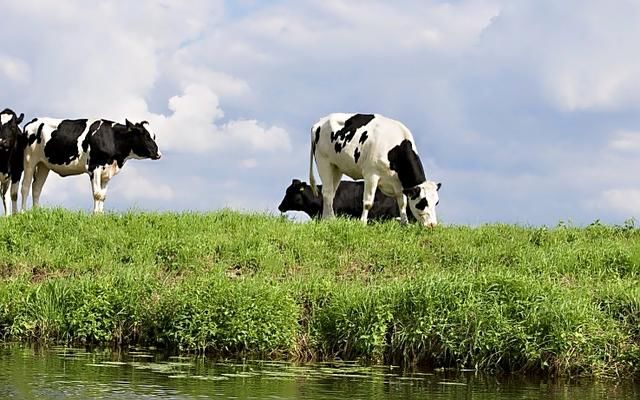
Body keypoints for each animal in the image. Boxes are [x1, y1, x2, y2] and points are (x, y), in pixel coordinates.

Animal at [21, 118, 161, 214]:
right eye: (145, 135)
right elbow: (97, 194)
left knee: (37, 188)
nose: (158, 154)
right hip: (29, 160)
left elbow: (103, 196)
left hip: (43, 164)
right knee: (25, 187)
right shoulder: (94, 167)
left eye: (154, 135)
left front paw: (100, 215)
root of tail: (33, 121)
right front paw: (95, 215)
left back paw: (36, 212)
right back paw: (22, 212)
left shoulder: (107, 171)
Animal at [308, 113, 440, 225]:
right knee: (327, 192)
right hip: (323, 161)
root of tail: (320, 122)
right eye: (423, 202)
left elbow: (402, 203)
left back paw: (327, 219)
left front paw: (405, 224)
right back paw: (331, 219)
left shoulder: (398, 183)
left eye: (436, 202)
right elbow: (368, 203)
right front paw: (362, 223)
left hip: (336, 167)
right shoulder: (371, 175)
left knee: (331, 192)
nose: (432, 225)